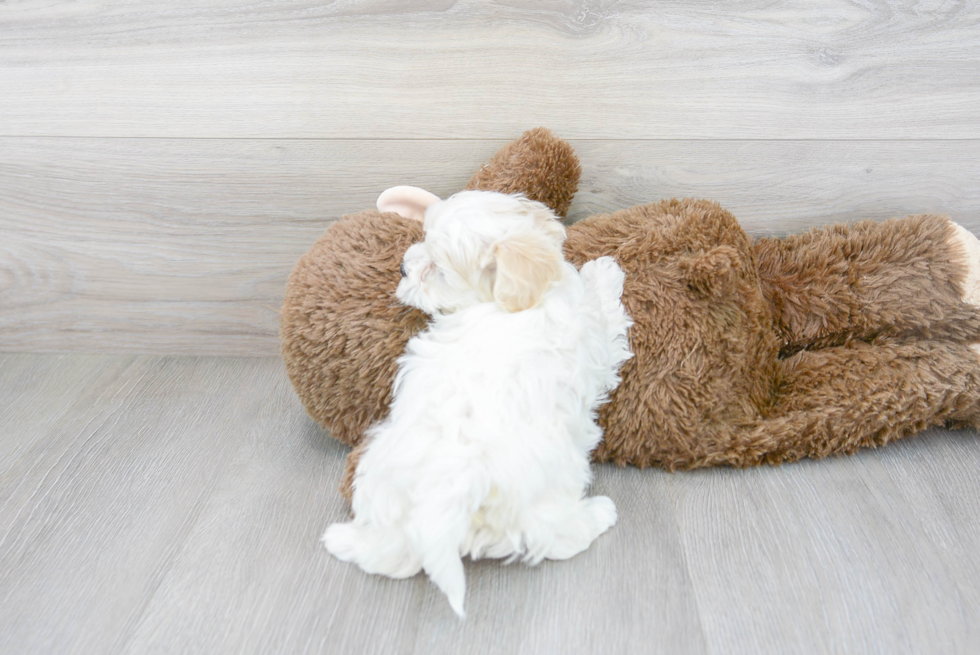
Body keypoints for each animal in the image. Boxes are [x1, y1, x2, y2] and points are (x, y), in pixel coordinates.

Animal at [318, 187, 632, 616]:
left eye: (436, 270)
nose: (401, 267)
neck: (512, 301)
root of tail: (450, 488)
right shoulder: (594, 338)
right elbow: (604, 310)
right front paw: (604, 270)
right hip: (550, 480)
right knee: (552, 534)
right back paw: (597, 514)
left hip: (383, 474)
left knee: (393, 553)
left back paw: (345, 541)